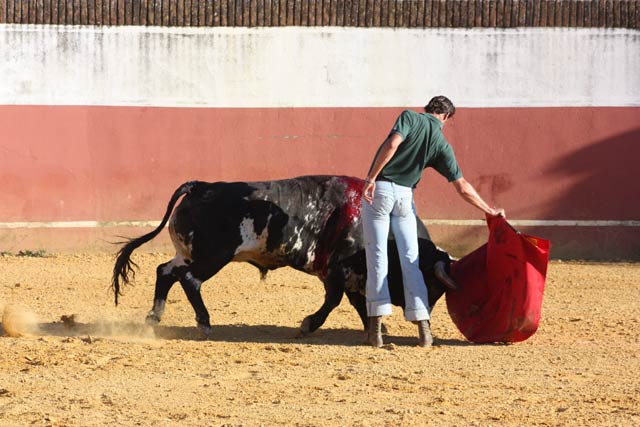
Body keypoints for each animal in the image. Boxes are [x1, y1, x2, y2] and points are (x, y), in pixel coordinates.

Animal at [114, 176, 456, 340]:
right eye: (432, 284)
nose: (426, 312)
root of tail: (202, 186)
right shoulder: (338, 270)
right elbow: (335, 301)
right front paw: (308, 325)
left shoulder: (350, 274)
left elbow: (359, 302)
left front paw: (375, 331)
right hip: (213, 256)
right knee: (189, 280)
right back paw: (205, 323)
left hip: (187, 252)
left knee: (165, 271)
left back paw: (154, 317)